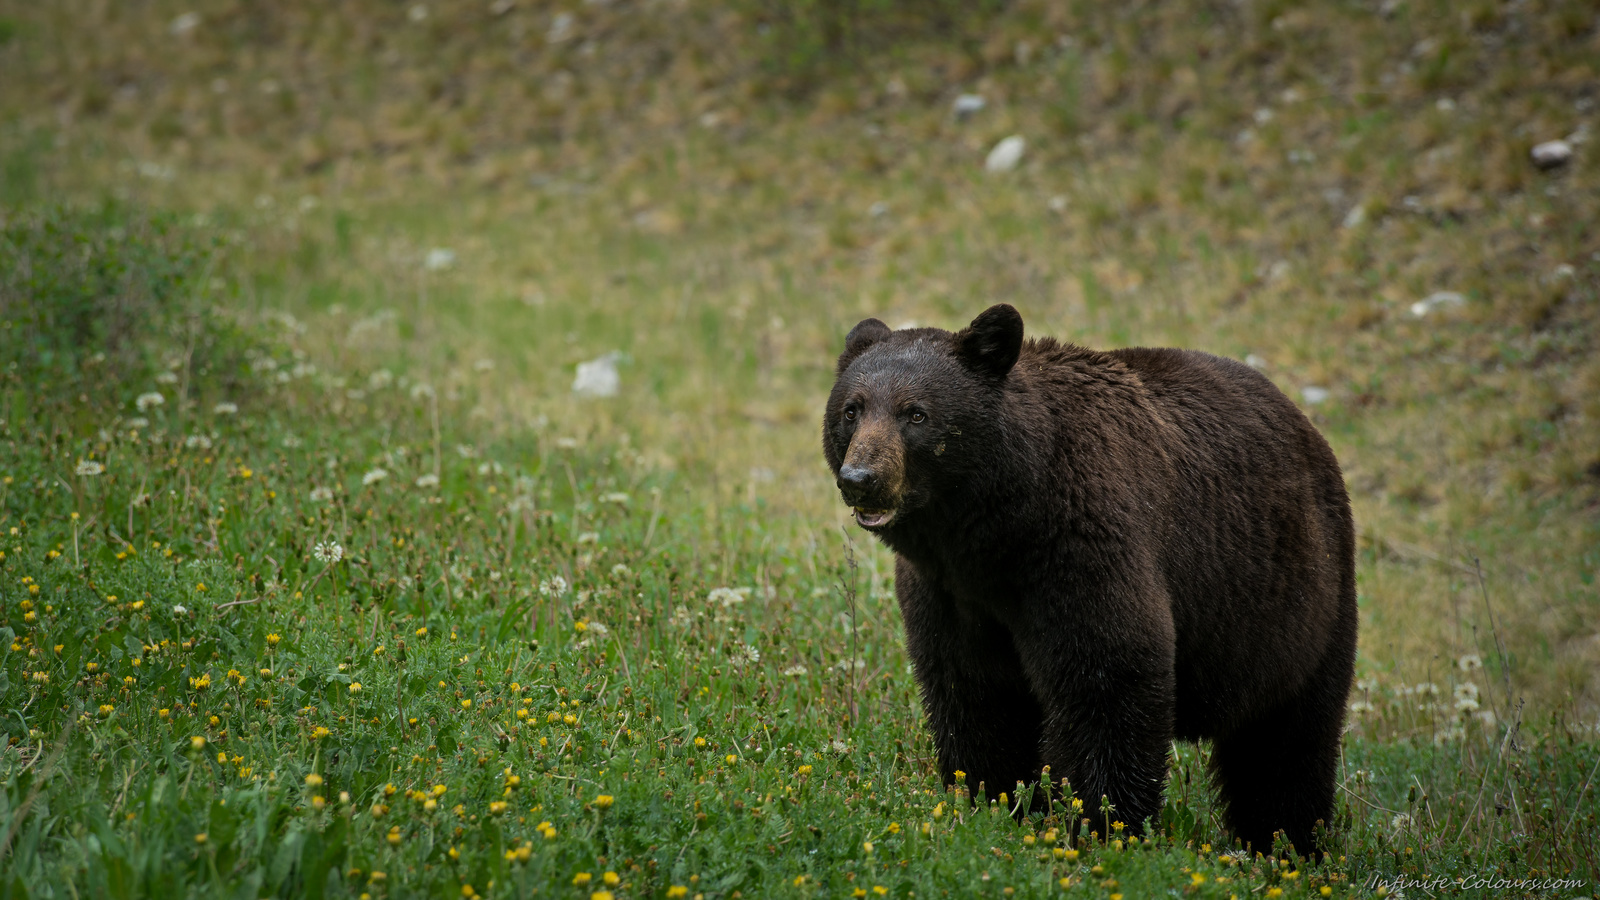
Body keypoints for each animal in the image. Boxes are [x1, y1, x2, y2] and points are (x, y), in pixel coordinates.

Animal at [825, 304, 1363, 851]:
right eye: (852, 409)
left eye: (916, 413)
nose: (861, 478)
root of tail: (1309, 430)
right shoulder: (948, 592)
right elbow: (972, 692)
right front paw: (991, 801)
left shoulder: (1083, 548)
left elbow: (1108, 677)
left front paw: (1100, 822)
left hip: (1299, 604)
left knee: (1288, 744)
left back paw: (1288, 841)